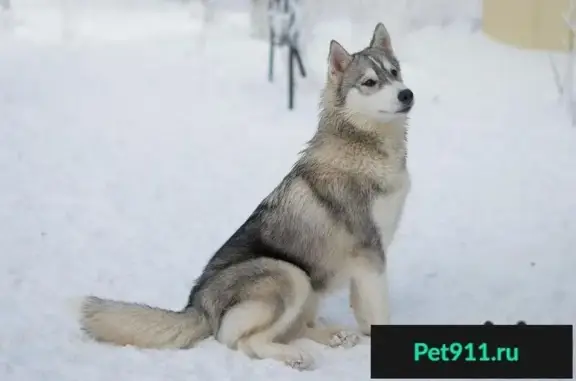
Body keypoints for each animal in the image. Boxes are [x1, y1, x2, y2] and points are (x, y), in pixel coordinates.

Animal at [80, 22, 414, 370]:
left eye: (395, 72)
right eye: (370, 82)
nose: (407, 94)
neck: (363, 146)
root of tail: (197, 305)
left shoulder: (368, 261)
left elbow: (366, 313)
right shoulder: (370, 253)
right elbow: (379, 312)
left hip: (307, 285)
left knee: (296, 328)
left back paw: (335, 335)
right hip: (290, 274)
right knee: (245, 342)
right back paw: (294, 356)